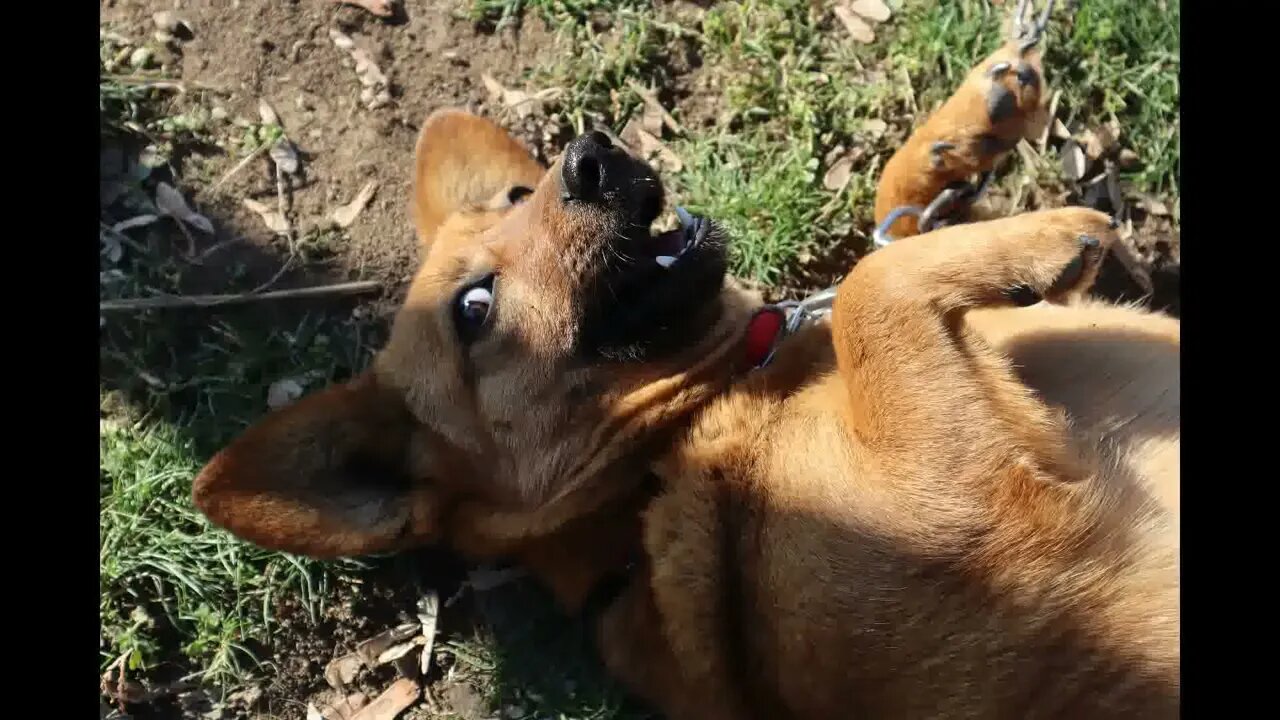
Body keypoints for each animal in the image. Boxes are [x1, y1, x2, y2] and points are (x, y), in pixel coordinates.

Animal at [189, 14, 1177, 712]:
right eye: (474, 310)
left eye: (518, 193)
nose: (590, 156)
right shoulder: (959, 498)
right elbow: (869, 283)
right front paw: (1045, 232)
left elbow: (886, 233)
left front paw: (965, 130)